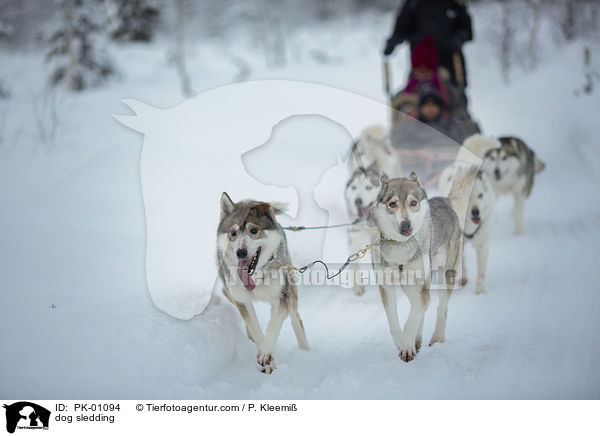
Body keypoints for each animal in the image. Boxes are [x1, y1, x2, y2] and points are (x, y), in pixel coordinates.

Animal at [217, 192, 310, 372]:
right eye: (233, 233)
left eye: (253, 230)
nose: (241, 252)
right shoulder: (241, 299)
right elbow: (255, 326)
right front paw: (266, 359)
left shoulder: (281, 297)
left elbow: (273, 324)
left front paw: (266, 352)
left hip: (290, 290)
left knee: (296, 318)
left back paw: (305, 351)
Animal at [372, 171, 466, 362]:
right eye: (392, 204)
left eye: (413, 202)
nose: (406, 224)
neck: (401, 248)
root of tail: (443, 200)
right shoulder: (386, 287)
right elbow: (395, 322)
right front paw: (403, 343)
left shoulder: (422, 287)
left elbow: (412, 319)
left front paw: (407, 347)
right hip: (409, 286)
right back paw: (418, 340)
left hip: (443, 278)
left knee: (441, 308)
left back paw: (436, 338)